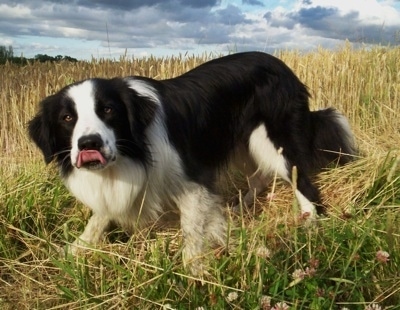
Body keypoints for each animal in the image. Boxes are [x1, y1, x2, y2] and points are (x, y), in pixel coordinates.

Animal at [28, 51, 356, 274]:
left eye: (108, 110)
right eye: (67, 118)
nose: (89, 144)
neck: (133, 150)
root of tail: (284, 67)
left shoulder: (192, 180)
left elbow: (192, 226)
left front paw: (194, 270)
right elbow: (99, 217)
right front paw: (77, 248)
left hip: (274, 141)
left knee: (301, 180)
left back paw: (310, 222)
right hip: (243, 144)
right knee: (259, 177)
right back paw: (239, 208)